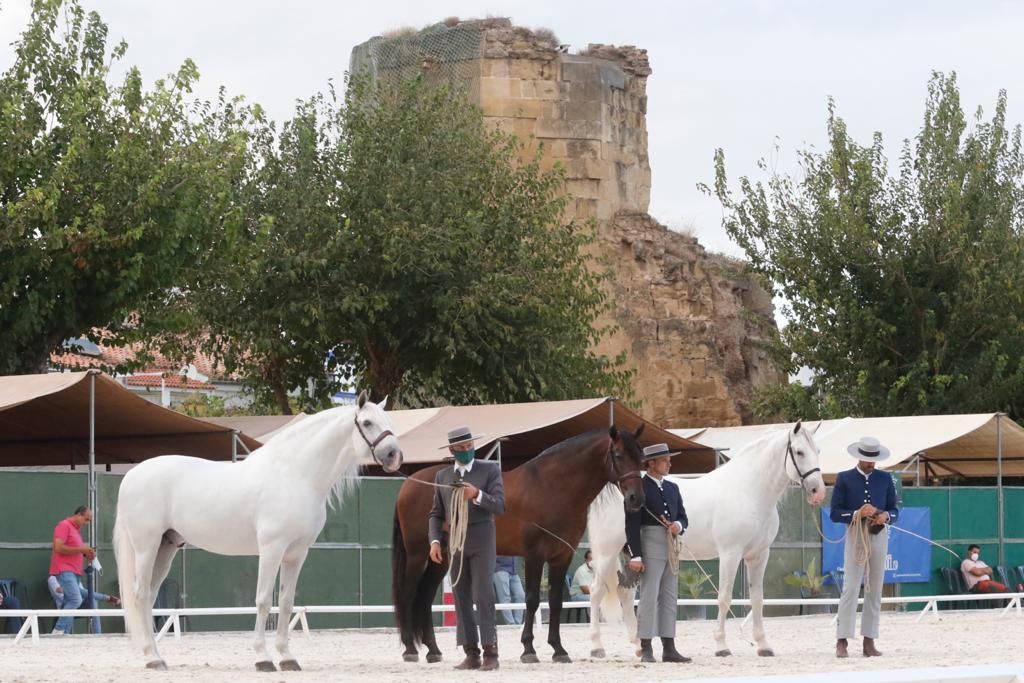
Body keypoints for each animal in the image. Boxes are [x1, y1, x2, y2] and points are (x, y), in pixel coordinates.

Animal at [112, 393, 399, 671]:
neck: (295, 475)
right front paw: (263, 658)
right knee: (140, 595)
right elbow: (263, 601)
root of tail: (132, 475)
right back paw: (152, 658)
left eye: (388, 421)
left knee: (149, 597)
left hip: (166, 547)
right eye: (367, 423)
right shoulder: (272, 549)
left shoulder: (297, 554)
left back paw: (156, 657)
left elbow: (286, 602)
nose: (394, 455)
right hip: (146, 547)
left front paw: (287, 657)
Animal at [393, 423, 643, 663]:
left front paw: (558, 649)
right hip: (418, 555)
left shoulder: (561, 556)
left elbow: (555, 601)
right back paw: (409, 649)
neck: (553, 487)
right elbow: (532, 600)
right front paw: (529, 649)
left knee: (424, 597)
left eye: (641, 455)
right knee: (408, 594)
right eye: (618, 454)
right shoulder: (534, 555)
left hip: (441, 557)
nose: (636, 499)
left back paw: (433, 651)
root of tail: (408, 485)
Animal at [585, 421, 823, 655]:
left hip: (632, 556)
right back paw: (597, 646)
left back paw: (637, 646)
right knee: (596, 592)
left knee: (625, 596)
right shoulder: (730, 554)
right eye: (799, 452)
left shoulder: (759, 555)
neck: (747, 491)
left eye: (818, 451)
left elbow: (757, 599)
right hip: (607, 553)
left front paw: (763, 645)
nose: (817, 491)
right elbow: (724, 598)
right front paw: (721, 645)